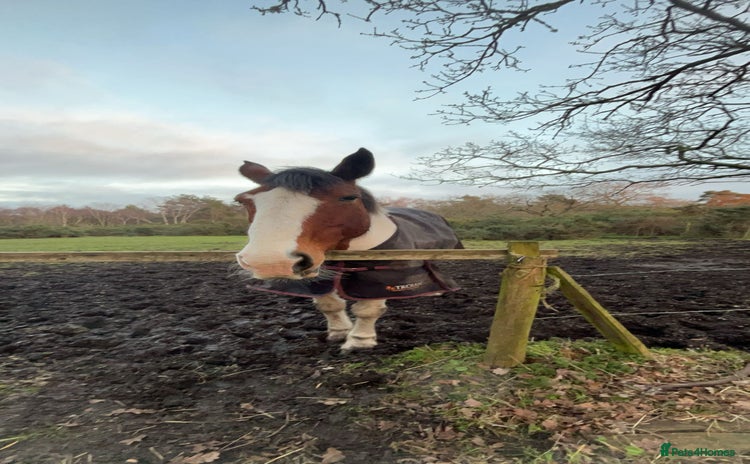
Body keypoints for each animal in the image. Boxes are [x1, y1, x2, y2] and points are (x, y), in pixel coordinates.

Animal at [234, 148, 463, 351]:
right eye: (243, 201)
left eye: (348, 197)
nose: (270, 261)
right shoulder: (316, 276)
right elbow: (329, 304)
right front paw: (339, 332)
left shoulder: (381, 276)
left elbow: (367, 309)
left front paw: (359, 341)